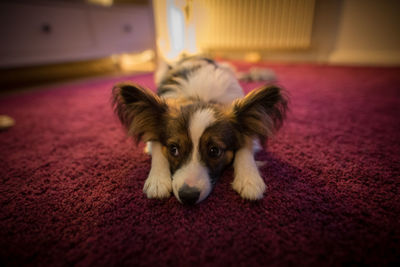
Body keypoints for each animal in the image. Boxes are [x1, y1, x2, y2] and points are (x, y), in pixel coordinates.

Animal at [112, 57, 288, 205]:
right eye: (173, 149)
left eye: (214, 151)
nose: (188, 197)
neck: (200, 98)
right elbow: (156, 147)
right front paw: (157, 181)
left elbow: (245, 147)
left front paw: (249, 179)